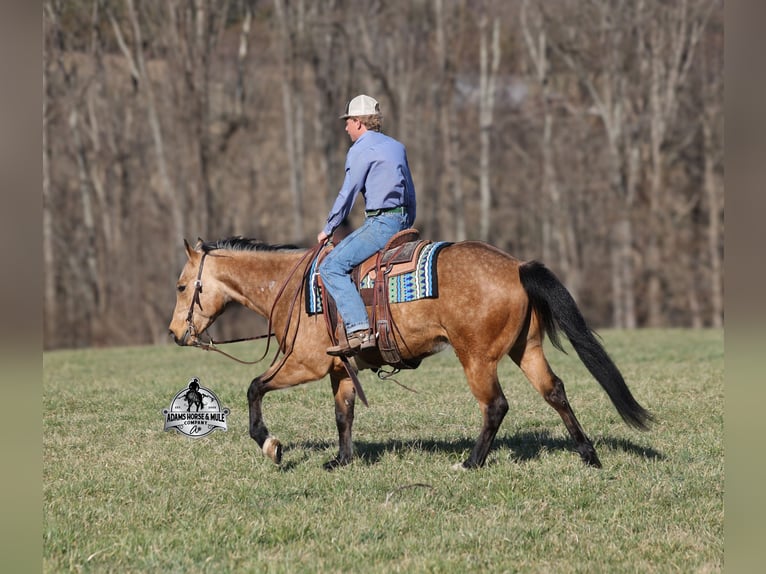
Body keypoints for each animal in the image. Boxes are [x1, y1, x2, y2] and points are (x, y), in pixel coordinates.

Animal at [168, 236, 652, 470]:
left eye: (181, 286)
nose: (174, 334)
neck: (295, 288)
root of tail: (516, 266)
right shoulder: (339, 368)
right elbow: (343, 414)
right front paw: (341, 461)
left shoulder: (305, 364)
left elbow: (254, 387)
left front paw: (270, 445)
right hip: (525, 349)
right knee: (555, 392)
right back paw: (588, 455)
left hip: (476, 358)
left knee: (495, 406)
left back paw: (471, 463)